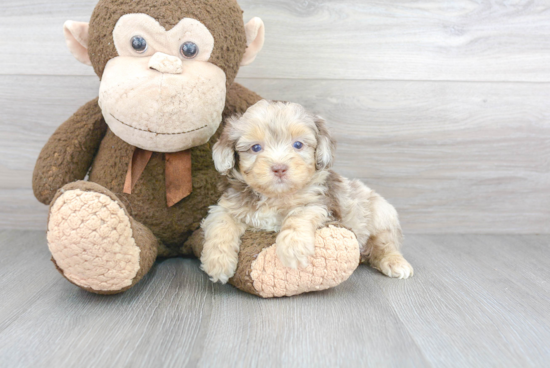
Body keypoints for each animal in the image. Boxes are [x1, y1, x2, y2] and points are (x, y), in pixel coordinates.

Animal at [202, 99, 414, 284]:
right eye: (255, 147)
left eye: (298, 145)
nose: (279, 168)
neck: (275, 196)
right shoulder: (226, 206)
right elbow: (221, 223)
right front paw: (217, 263)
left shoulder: (320, 203)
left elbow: (299, 215)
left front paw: (293, 248)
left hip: (380, 213)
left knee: (385, 244)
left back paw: (396, 263)